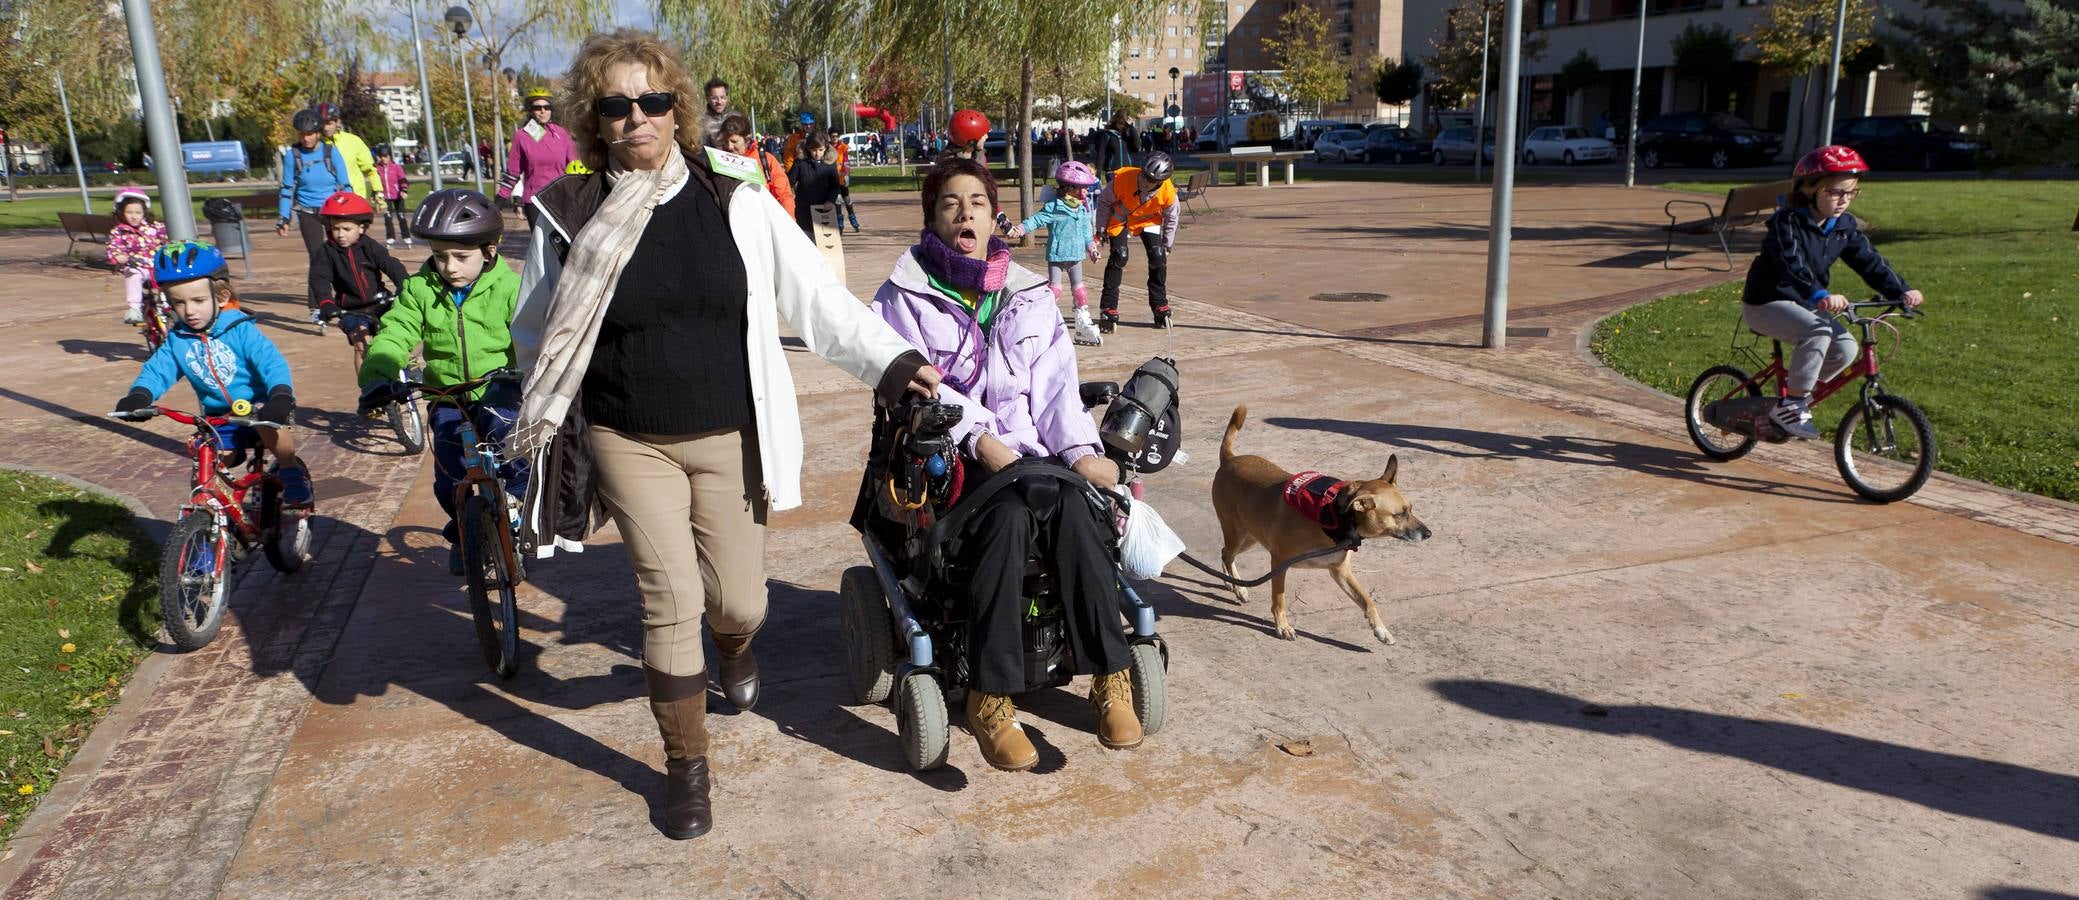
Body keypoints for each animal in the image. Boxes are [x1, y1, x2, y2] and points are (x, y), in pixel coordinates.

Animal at [1214, 403, 1430, 640]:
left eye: (1410, 509)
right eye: (1400, 514)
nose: (1428, 534)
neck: (1336, 516)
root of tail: (1229, 459)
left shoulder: (1341, 571)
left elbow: (1367, 601)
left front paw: (1380, 630)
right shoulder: (1279, 563)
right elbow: (1279, 599)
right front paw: (1282, 626)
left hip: (1251, 536)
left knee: (1224, 553)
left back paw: (1232, 584)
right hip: (1238, 533)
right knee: (1227, 554)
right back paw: (1238, 588)